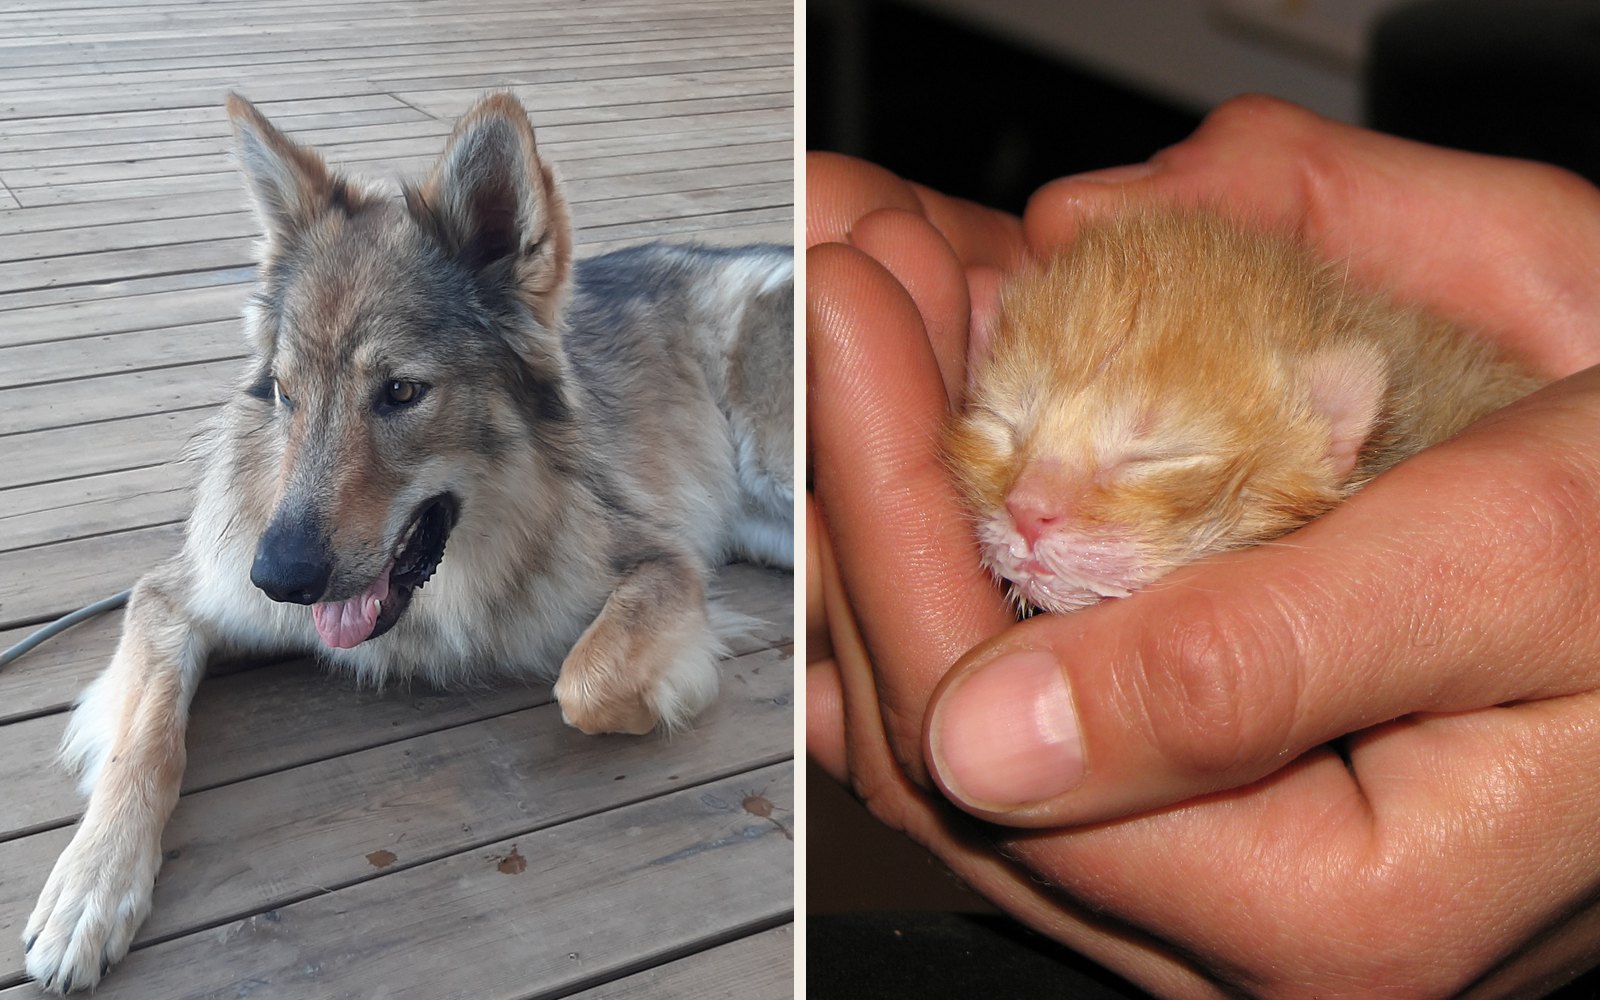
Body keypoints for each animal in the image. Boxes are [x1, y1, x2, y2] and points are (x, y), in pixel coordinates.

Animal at [21, 92, 793, 993]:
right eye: (284, 392)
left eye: (400, 392)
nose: (275, 578)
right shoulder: (176, 596)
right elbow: (143, 742)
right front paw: (91, 884)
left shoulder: (663, 563)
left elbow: (583, 684)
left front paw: (665, 695)